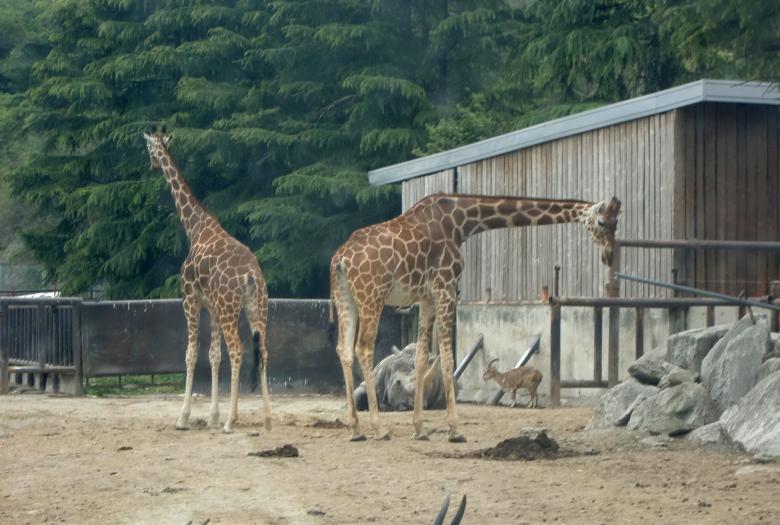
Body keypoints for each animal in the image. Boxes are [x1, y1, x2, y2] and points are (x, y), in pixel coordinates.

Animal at [143, 126, 271, 434]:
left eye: (149, 149)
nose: (151, 165)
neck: (195, 227)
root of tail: (251, 276)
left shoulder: (190, 298)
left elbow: (191, 354)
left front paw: (183, 417)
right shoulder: (211, 306)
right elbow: (214, 355)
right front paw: (211, 416)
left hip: (229, 309)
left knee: (238, 350)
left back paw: (231, 421)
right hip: (257, 307)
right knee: (263, 351)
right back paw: (267, 418)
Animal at [330, 193, 621, 442]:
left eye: (617, 224)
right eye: (602, 222)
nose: (609, 256)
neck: (462, 222)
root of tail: (340, 259)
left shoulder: (426, 297)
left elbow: (423, 357)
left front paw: (420, 428)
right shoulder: (446, 288)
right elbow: (449, 358)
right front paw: (455, 429)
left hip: (346, 298)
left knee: (343, 349)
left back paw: (356, 429)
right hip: (372, 295)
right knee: (363, 348)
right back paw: (379, 428)